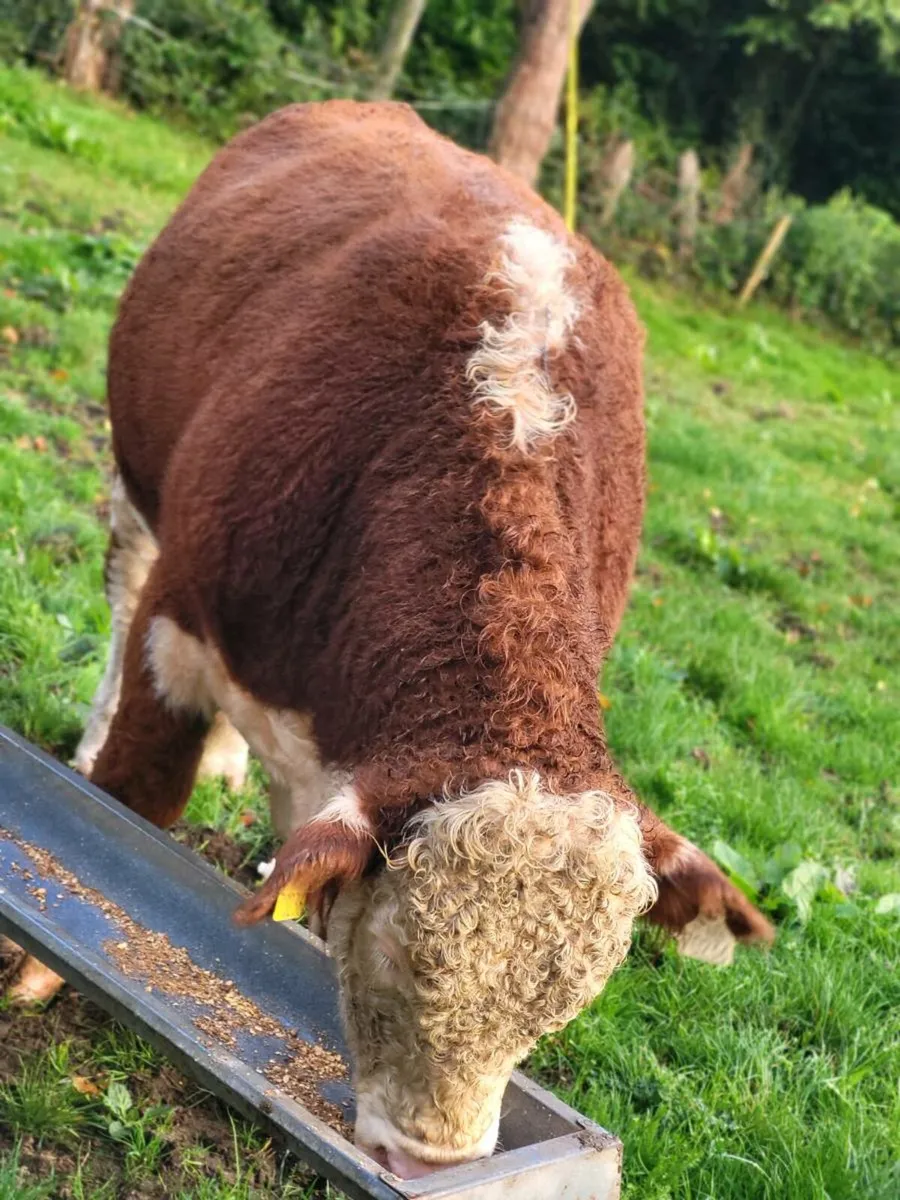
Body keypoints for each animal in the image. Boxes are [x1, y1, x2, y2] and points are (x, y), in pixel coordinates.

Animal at [5, 101, 773, 1179]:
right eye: (399, 956)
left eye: (566, 1004)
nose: (430, 1166)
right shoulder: (180, 619)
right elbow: (130, 802)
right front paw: (33, 971)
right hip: (133, 466)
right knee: (119, 590)